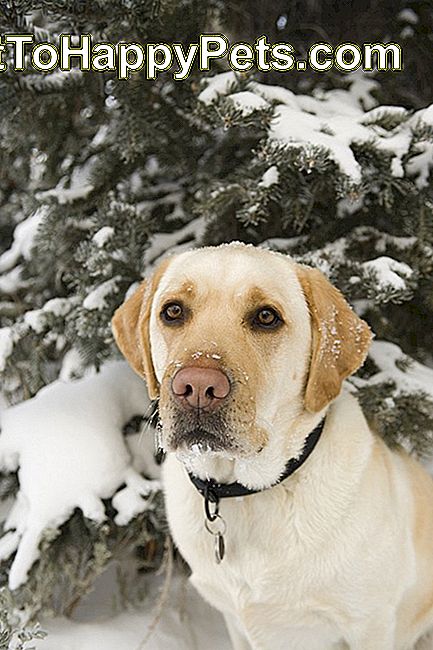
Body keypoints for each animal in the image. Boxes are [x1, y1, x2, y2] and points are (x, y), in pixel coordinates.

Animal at [109, 243, 432, 648]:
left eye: (266, 317)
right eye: (173, 311)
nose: (196, 386)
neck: (247, 494)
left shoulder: (370, 624)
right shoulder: (236, 623)